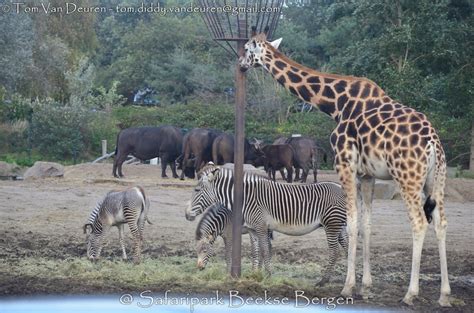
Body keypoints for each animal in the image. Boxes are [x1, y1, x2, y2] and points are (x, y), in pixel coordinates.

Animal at [186, 163, 348, 282]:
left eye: (197, 189)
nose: (187, 215)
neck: (242, 198)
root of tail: (340, 186)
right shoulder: (252, 229)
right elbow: (257, 251)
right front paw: (255, 274)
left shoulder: (259, 226)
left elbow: (264, 251)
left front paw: (268, 276)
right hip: (340, 225)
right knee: (347, 249)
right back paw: (347, 280)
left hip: (331, 224)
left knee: (335, 251)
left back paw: (323, 281)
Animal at [239, 26, 450, 304]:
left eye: (246, 48)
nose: (240, 64)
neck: (336, 104)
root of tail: (432, 142)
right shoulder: (367, 174)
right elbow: (366, 225)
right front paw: (366, 286)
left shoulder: (344, 164)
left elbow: (351, 224)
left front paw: (348, 286)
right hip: (435, 180)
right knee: (440, 223)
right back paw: (444, 294)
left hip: (408, 177)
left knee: (419, 222)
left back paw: (410, 293)